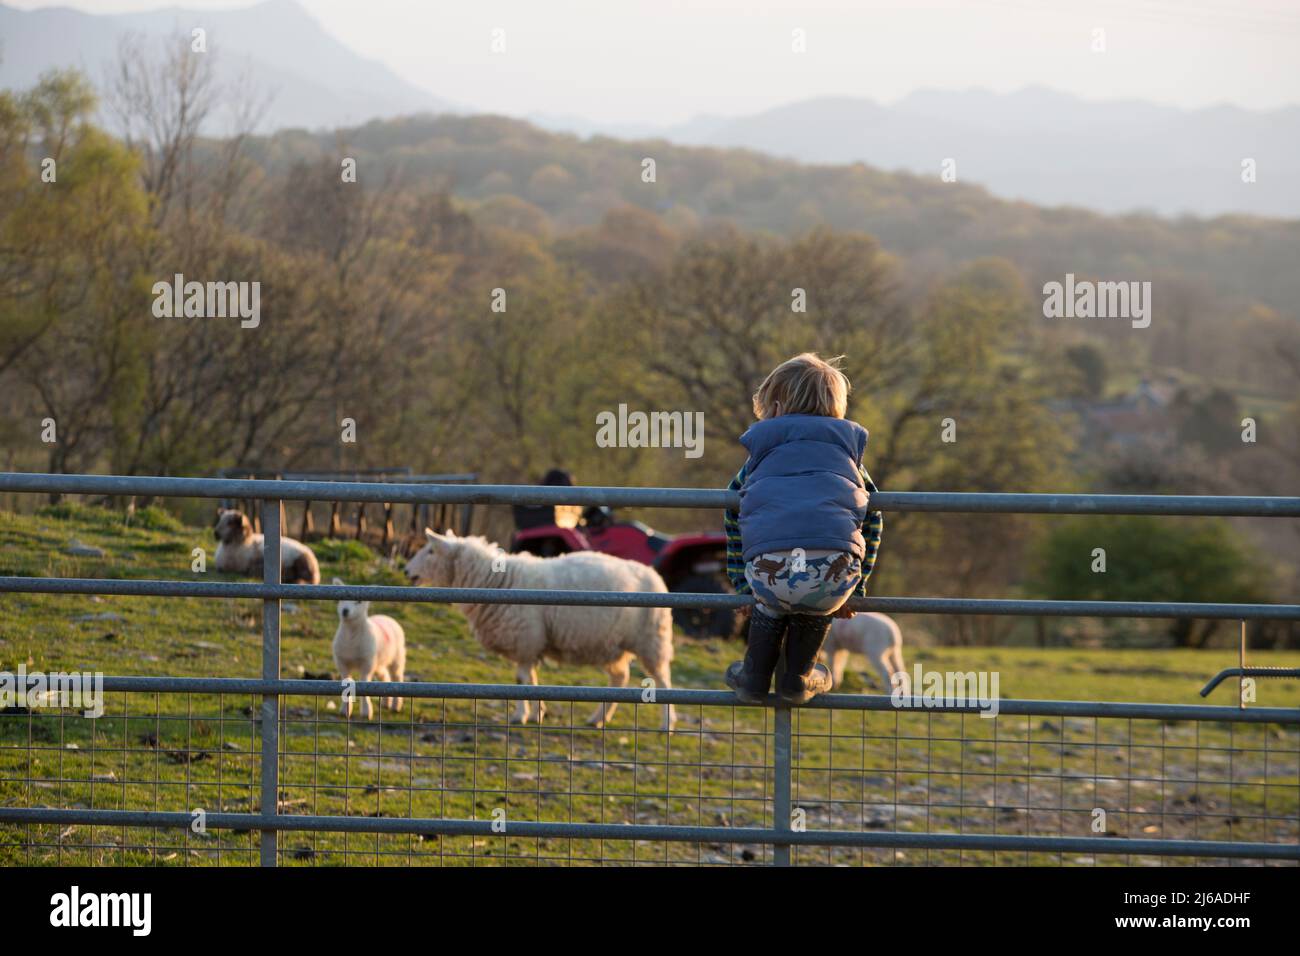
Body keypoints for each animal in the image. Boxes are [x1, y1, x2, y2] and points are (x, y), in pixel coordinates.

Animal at [330, 580, 405, 723]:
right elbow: (346, 683)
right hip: (378, 662)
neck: (351, 639)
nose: (345, 611)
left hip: (396, 659)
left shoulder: (367, 664)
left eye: (359, 601)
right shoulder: (342, 662)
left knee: (397, 678)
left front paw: (366, 712)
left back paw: (396, 706)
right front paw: (345, 711)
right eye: (341, 599)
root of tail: (386, 617)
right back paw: (386, 703)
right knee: (385, 677)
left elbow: (364, 682)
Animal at [408, 530, 681, 733]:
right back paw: (598, 719)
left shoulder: (525, 639)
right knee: (620, 679)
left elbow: (521, 681)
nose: (406, 571)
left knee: (663, 682)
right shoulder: (531, 644)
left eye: (431, 551)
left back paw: (666, 725)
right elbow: (531, 680)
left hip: (651, 640)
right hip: (611, 644)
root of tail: (654, 574)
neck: (495, 581)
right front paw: (537, 713)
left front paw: (520, 716)